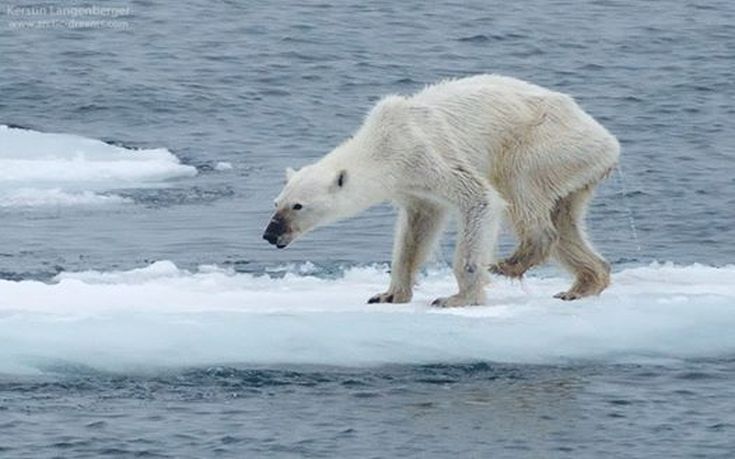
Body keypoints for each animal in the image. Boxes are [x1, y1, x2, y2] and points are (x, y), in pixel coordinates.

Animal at [263, 75, 619, 307]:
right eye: (276, 202)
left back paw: (510, 263)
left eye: (297, 206)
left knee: (519, 187)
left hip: (546, 144)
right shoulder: (412, 186)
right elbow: (416, 229)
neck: (383, 143)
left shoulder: (426, 154)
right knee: (565, 220)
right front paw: (388, 294)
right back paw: (583, 285)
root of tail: (608, 141)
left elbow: (480, 198)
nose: (270, 234)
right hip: (575, 170)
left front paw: (457, 297)